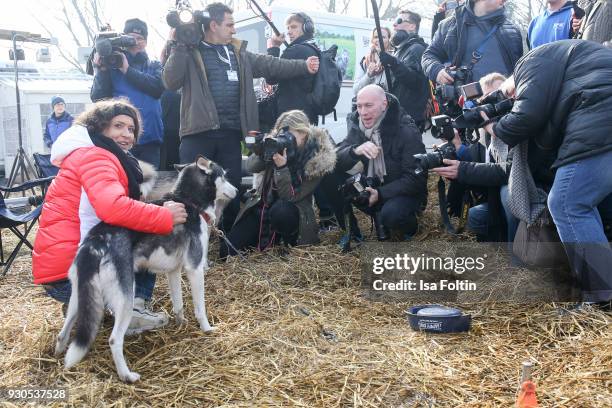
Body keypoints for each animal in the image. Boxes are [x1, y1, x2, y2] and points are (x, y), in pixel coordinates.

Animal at [54, 155, 237, 382]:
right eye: (224, 176)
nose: (238, 190)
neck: (190, 203)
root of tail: (95, 241)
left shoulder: (173, 271)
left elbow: (178, 304)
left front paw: (181, 323)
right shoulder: (194, 269)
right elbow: (200, 308)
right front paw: (207, 328)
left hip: (80, 298)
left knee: (63, 331)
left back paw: (60, 355)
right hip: (125, 299)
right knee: (114, 340)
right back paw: (127, 376)